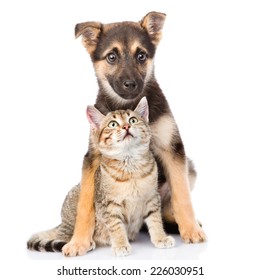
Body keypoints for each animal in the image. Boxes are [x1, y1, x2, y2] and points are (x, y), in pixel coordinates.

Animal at [26, 98, 174, 256]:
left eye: (133, 120)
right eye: (113, 124)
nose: (126, 126)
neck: (130, 167)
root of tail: (61, 224)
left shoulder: (152, 198)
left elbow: (155, 220)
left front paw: (160, 238)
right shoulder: (108, 204)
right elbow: (116, 226)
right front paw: (121, 245)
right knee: (65, 236)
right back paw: (85, 242)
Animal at [62, 11, 206, 256]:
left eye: (141, 56)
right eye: (111, 57)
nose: (131, 84)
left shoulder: (172, 149)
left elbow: (182, 194)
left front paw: (190, 229)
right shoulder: (92, 158)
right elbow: (85, 203)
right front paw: (79, 241)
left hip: (190, 168)